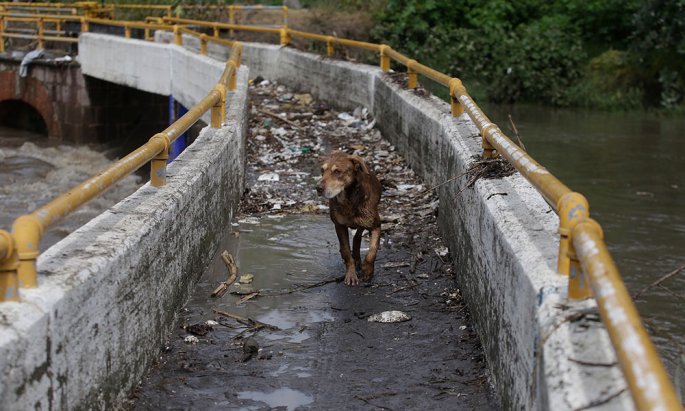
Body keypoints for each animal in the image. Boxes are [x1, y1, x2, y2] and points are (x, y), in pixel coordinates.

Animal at [314, 151, 380, 286]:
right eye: (322, 170)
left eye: (337, 171)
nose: (318, 188)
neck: (349, 199)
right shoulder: (339, 226)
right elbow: (346, 251)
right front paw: (351, 273)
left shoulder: (376, 226)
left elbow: (372, 251)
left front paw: (368, 270)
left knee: (358, 234)